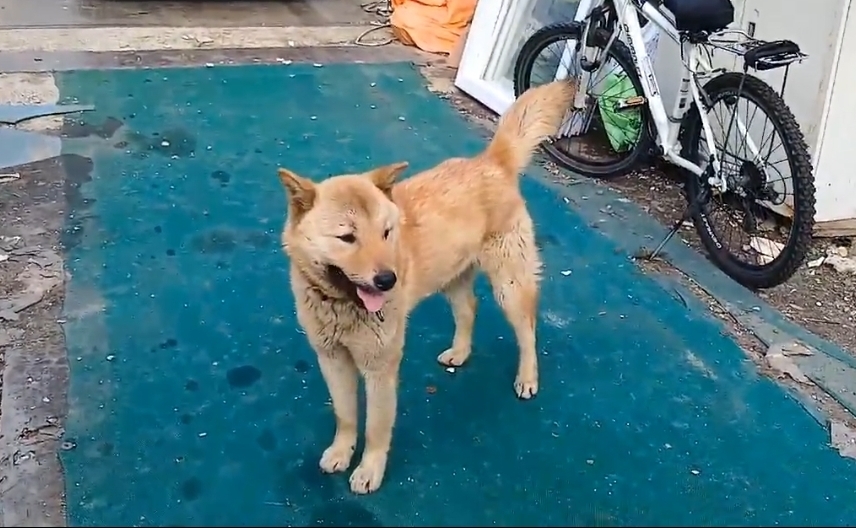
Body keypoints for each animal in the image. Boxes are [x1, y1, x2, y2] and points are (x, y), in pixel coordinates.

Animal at [278, 80, 580, 492]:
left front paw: (369, 470)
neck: (341, 303)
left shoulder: (380, 368)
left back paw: (527, 377)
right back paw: (460, 352)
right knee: (469, 309)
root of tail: (490, 162)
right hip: (451, 277)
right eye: (347, 237)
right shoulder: (332, 359)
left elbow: (376, 427)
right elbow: (346, 416)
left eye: (386, 232)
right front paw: (341, 452)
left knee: (528, 332)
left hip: (509, 286)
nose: (388, 280)